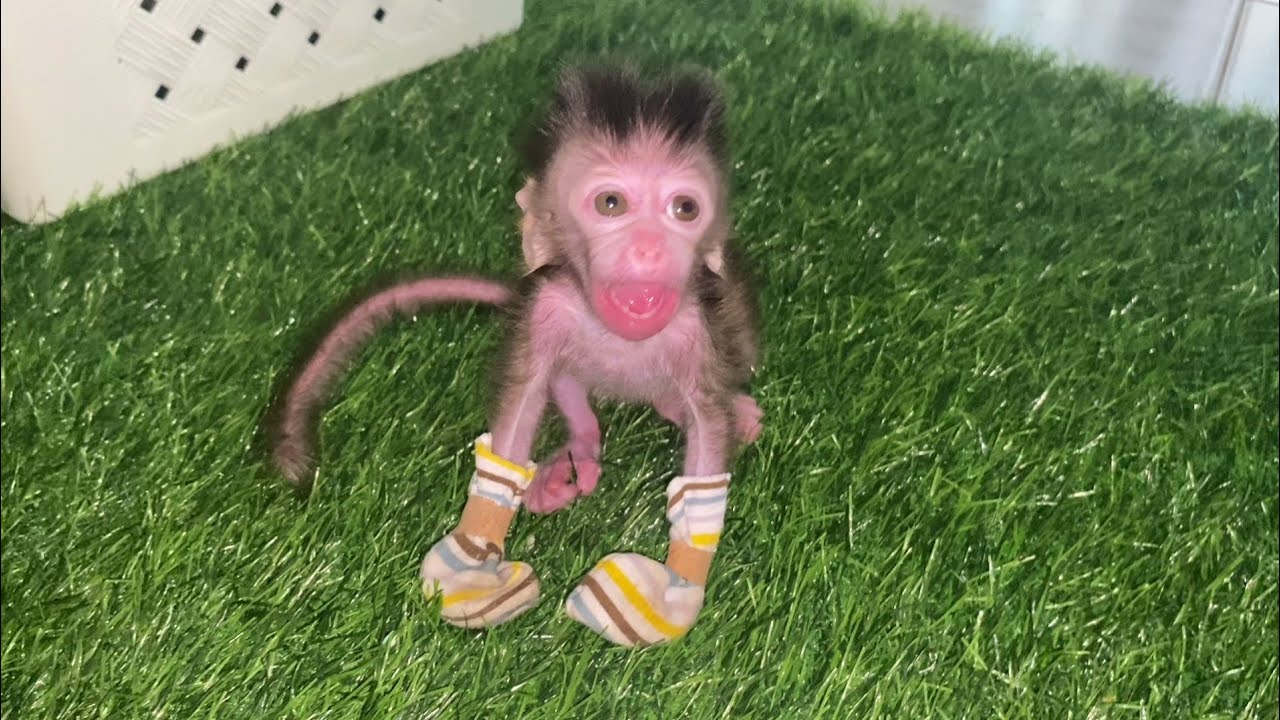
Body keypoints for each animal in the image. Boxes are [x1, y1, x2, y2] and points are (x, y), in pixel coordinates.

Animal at [268, 63, 762, 646]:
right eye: (611, 204)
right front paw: (469, 560)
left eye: (684, 209)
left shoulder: (696, 331)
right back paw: (578, 449)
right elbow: (518, 414)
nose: (649, 249)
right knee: (566, 385)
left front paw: (677, 591)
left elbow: (707, 431)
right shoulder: (545, 309)